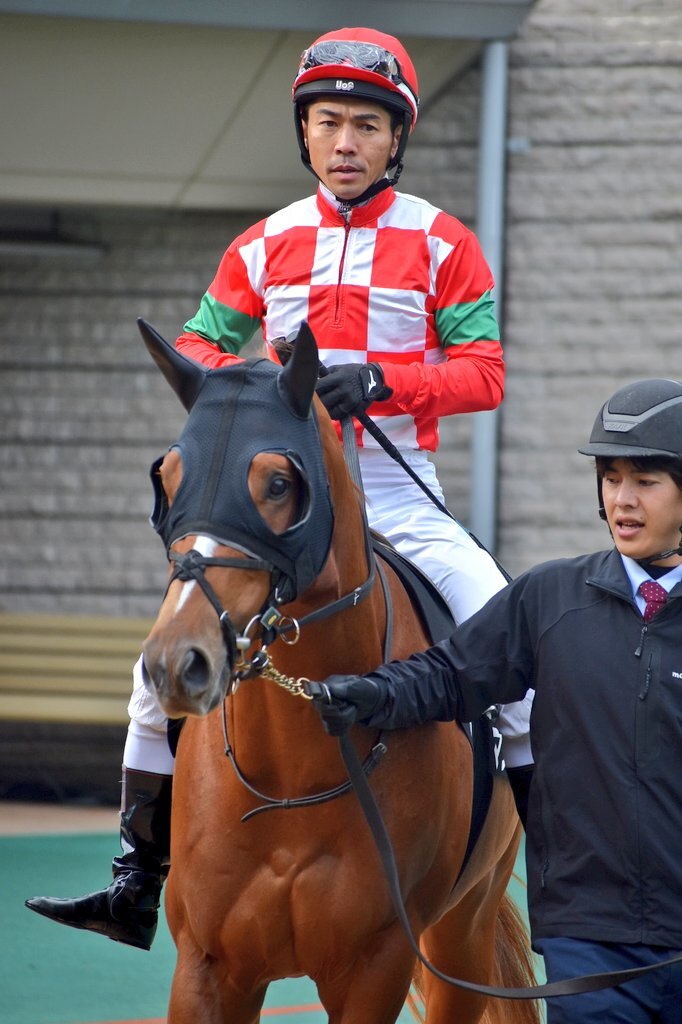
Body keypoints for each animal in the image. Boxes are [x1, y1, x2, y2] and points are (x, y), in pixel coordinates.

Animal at [138, 318, 539, 1024]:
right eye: (171, 476)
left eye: (277, 483)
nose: (176, 661)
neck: (289, 779)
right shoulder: (208, 967)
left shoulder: (376, 966)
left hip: (464, 932)